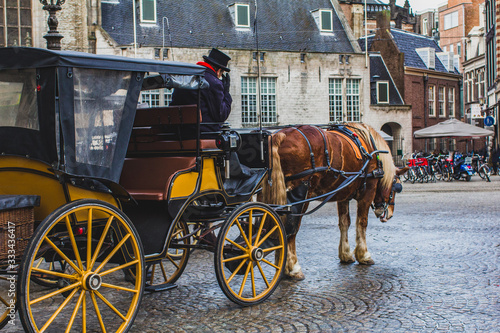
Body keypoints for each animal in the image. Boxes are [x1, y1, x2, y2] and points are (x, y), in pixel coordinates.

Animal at [262, 123, 406, 278]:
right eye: (397, 187)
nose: (388, 213)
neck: (370, 148)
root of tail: (280, 135)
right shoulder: (368, 191)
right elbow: (361, 223)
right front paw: (364, 255)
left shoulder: (343, 194)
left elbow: (344, 223)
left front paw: (346, 254)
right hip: (301, 195)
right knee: (291, 229)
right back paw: (294, 268)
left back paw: (281, 265)